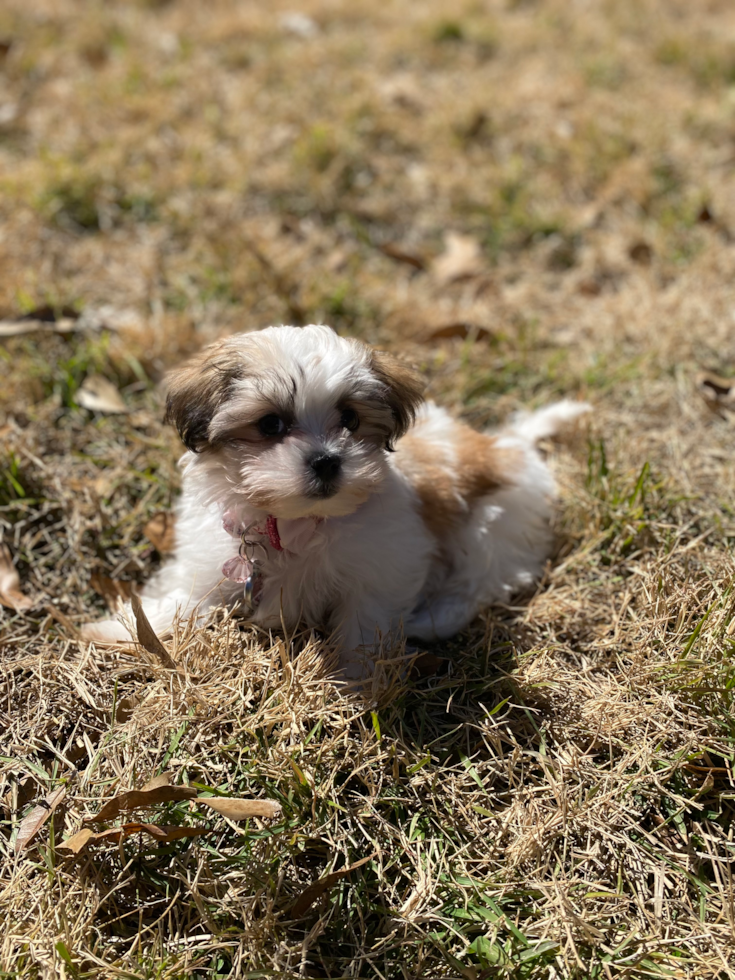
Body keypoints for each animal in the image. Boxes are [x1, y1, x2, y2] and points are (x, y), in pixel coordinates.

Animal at [85, 326, 592, 676]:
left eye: (350, 418)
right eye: (270, 424)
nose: (327, 460)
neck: (292, 522)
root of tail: (509, 445)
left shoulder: (383, 567)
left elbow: (365, 620)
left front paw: (355, 680)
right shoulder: (214, 556)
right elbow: (186, 597)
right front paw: (126, 629)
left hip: (495, 526)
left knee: (479, 582)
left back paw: (431, 620)